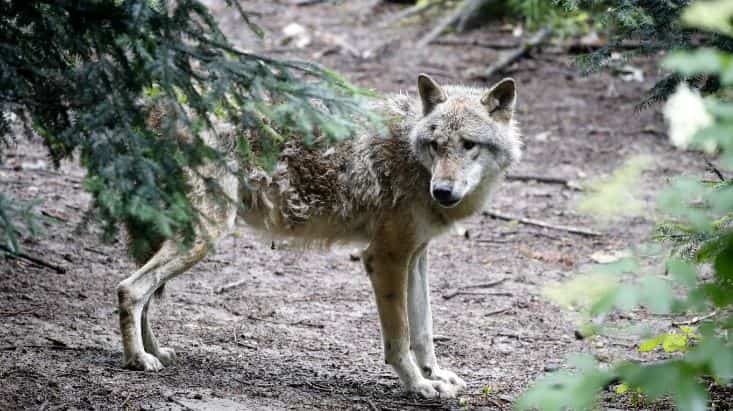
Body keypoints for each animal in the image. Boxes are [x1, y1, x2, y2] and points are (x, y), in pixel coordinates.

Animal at [115, 74, 521, 399]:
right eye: (436, 145)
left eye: (468, 144)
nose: (443, 191)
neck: (412, 157)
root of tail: (153, 109)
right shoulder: (385, 257)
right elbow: (400, 337)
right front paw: (418, 385)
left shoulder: (416, 256)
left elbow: (424, 331)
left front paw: (434, 375)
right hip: (203, 236)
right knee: (130, 289)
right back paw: (138, 359)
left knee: (145, 293)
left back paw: (155, 351)